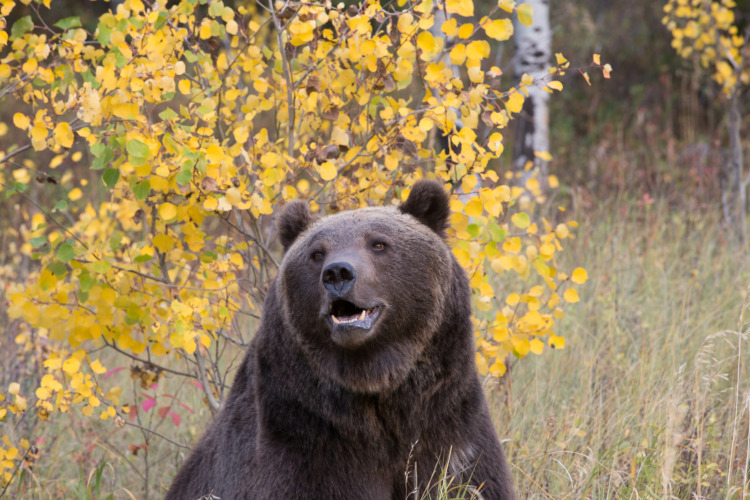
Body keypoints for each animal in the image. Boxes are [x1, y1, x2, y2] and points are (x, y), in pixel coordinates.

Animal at [167, 181, 516, 500]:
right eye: (317, 252)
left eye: (379, 243)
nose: (337, 273)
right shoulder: (304, 438)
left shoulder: (451, 427)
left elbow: (471, 480)